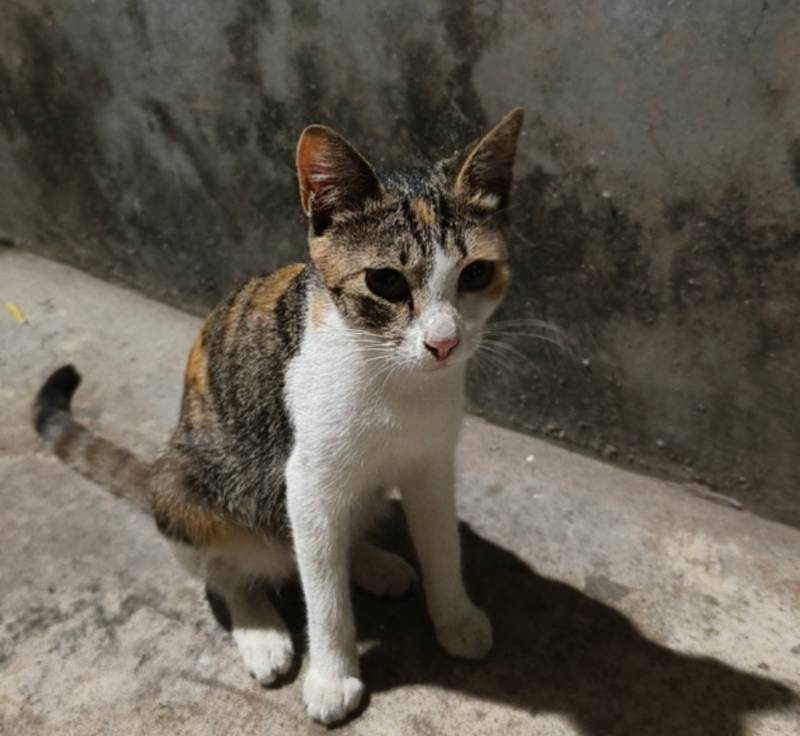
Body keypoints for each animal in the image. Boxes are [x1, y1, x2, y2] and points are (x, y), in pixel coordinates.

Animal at [33, 108, 524, 725]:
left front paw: (455, 617)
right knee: (230, 569)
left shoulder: (432, 464)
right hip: (187, 489)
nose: (444, 343)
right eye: (385, 281)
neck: (398, 383)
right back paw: (260, 629)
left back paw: (372, 562)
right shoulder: (306, 478)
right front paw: (333, 676)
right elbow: (323, 595)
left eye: (475, 274)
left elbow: (440, 545)